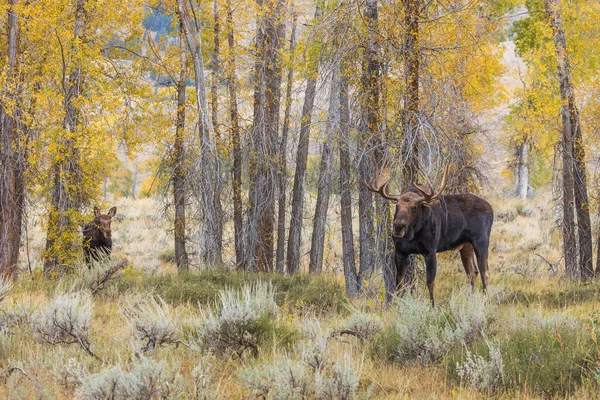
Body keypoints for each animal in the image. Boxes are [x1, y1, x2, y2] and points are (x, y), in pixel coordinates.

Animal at [368, 166, 494, 306]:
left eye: (414, 207)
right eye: (397, 205)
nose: (398, 226)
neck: (412, 235)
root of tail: (491, 208)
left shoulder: (430, 251)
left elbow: (430, 282)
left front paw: (433, 307)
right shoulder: (400, 251)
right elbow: (399, 283)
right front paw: (397, 304)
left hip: (481, 240)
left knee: (485, 272)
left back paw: (487, 301)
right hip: (465, 245)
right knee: (472, 272)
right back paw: (470, 299)